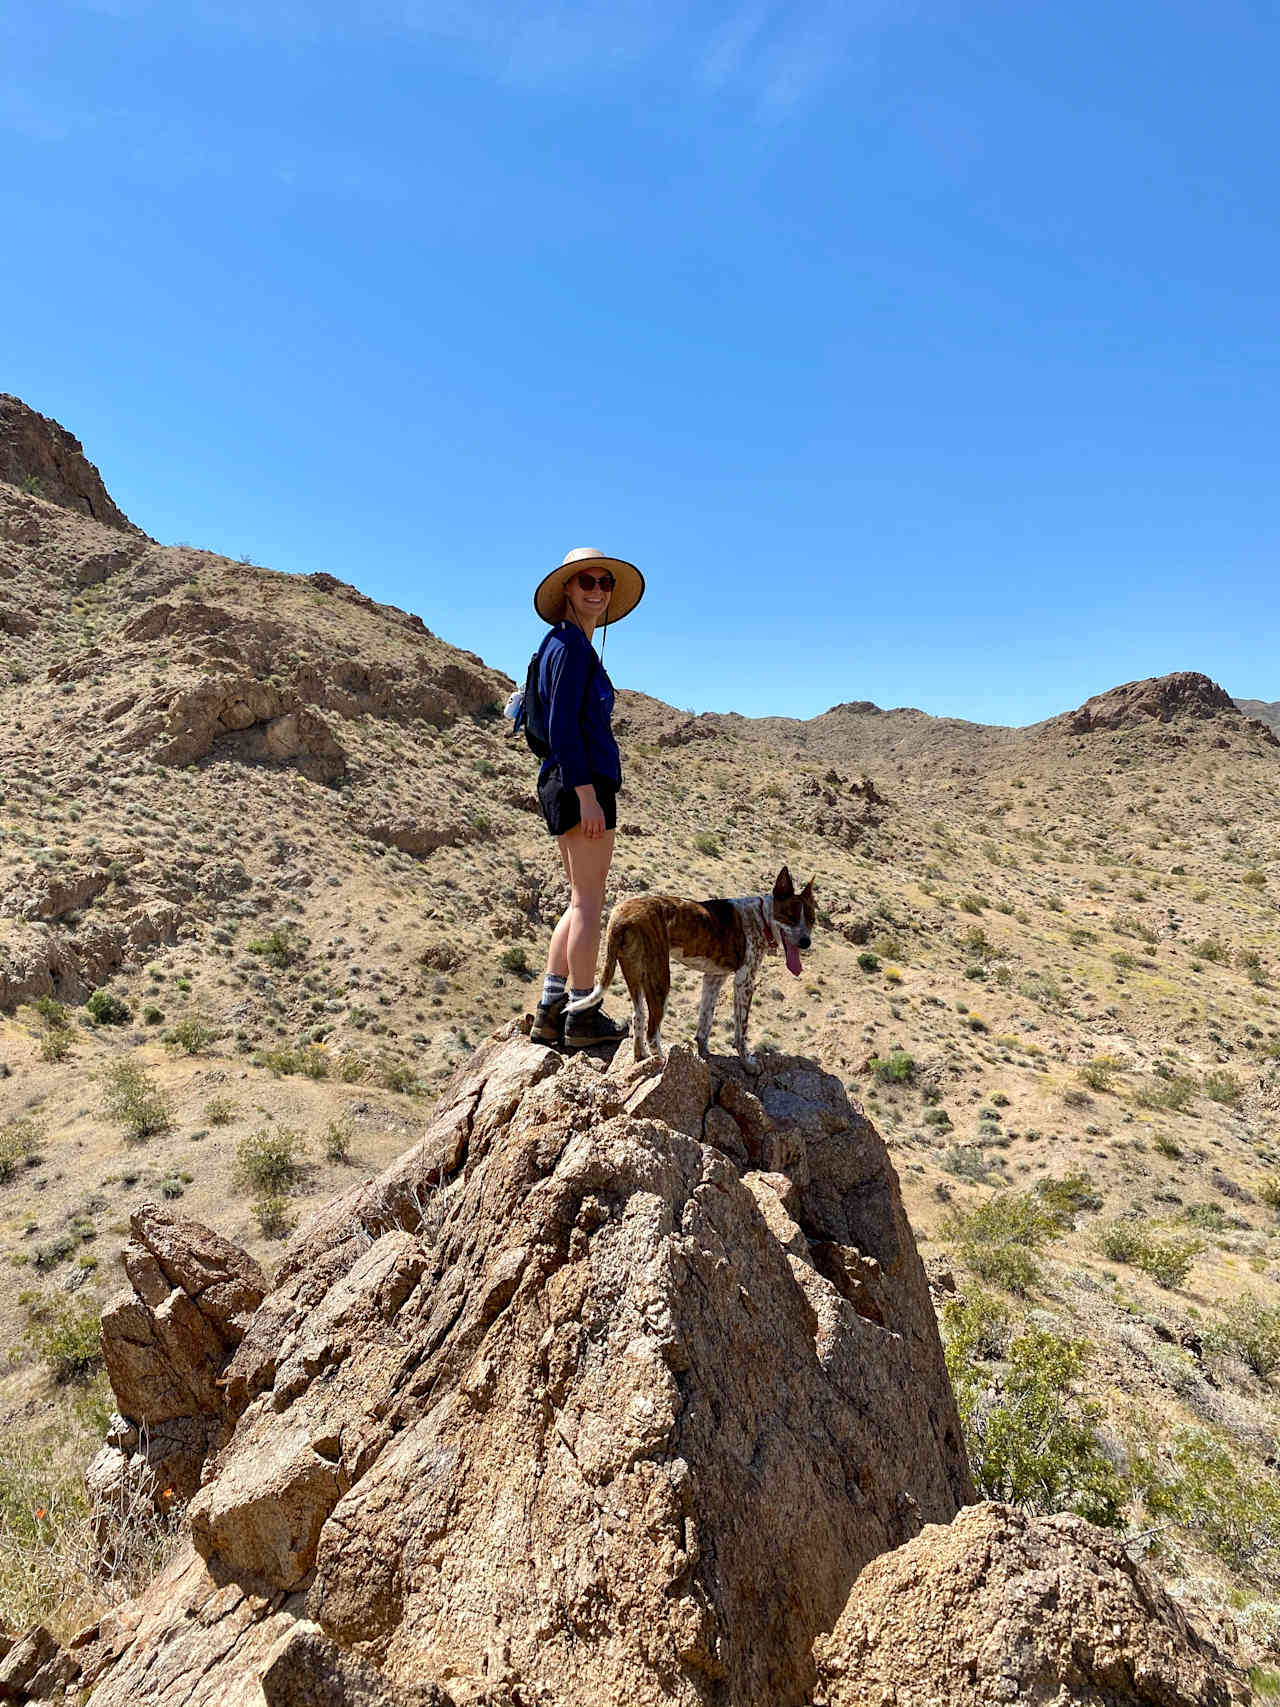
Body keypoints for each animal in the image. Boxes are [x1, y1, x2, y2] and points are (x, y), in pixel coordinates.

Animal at [576, 867, 815, 1065]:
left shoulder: (714, 978)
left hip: (633, 972)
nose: (806, 942)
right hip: (660, 979)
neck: (761, 918)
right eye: (791, 917)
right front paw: (747, 1061)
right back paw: (662, 1062)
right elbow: (741, 1029)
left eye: (811, 919)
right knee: (652, 1031)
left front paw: (704, 1051)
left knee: (638, 1017)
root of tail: (621, 914)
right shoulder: (744, 982)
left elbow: (705, 1021)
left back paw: (640, 1057)